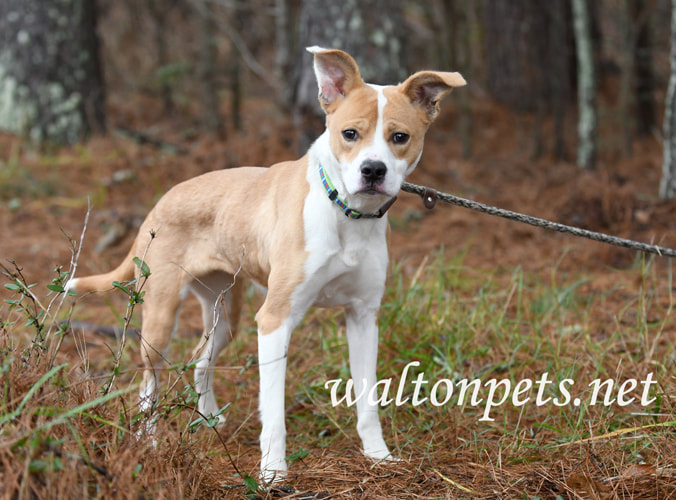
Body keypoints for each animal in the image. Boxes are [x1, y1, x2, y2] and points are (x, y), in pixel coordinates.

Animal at [68, 48, 468, 482]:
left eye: (400, 137)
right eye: (350, 134)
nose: (373, 170)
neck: (345, 213)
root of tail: (161, 201)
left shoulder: (364, 317)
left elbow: (367, 399)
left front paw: (378, 455)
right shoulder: (275, 320)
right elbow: (273, 412)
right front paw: (273, 472)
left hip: (225, 314)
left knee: (200, 360)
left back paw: (208, 420)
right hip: (160, 316)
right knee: (149, 380)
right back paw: (149, 438)